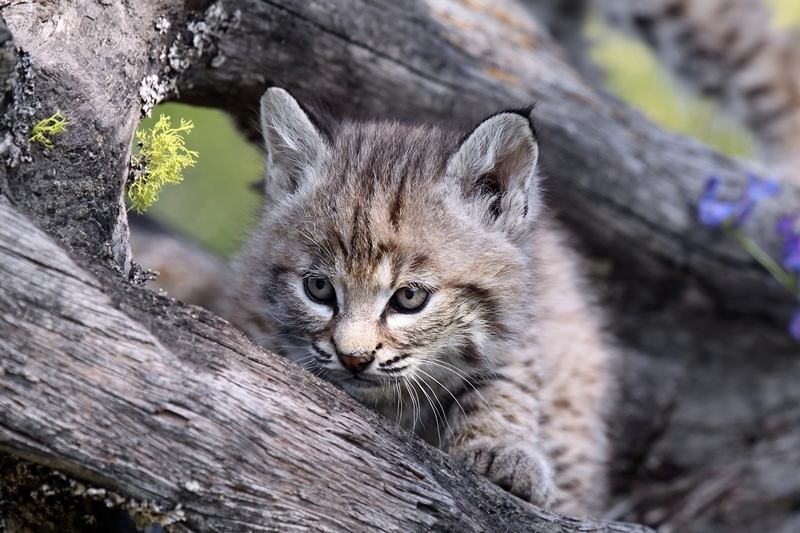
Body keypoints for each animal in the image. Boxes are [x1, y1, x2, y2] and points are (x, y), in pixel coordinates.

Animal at [231, 87, 612, 516]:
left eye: (409, 297)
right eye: (319, 288)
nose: (353, 359)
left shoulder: (521, 326)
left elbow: (507, 381)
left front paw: (502, 452)